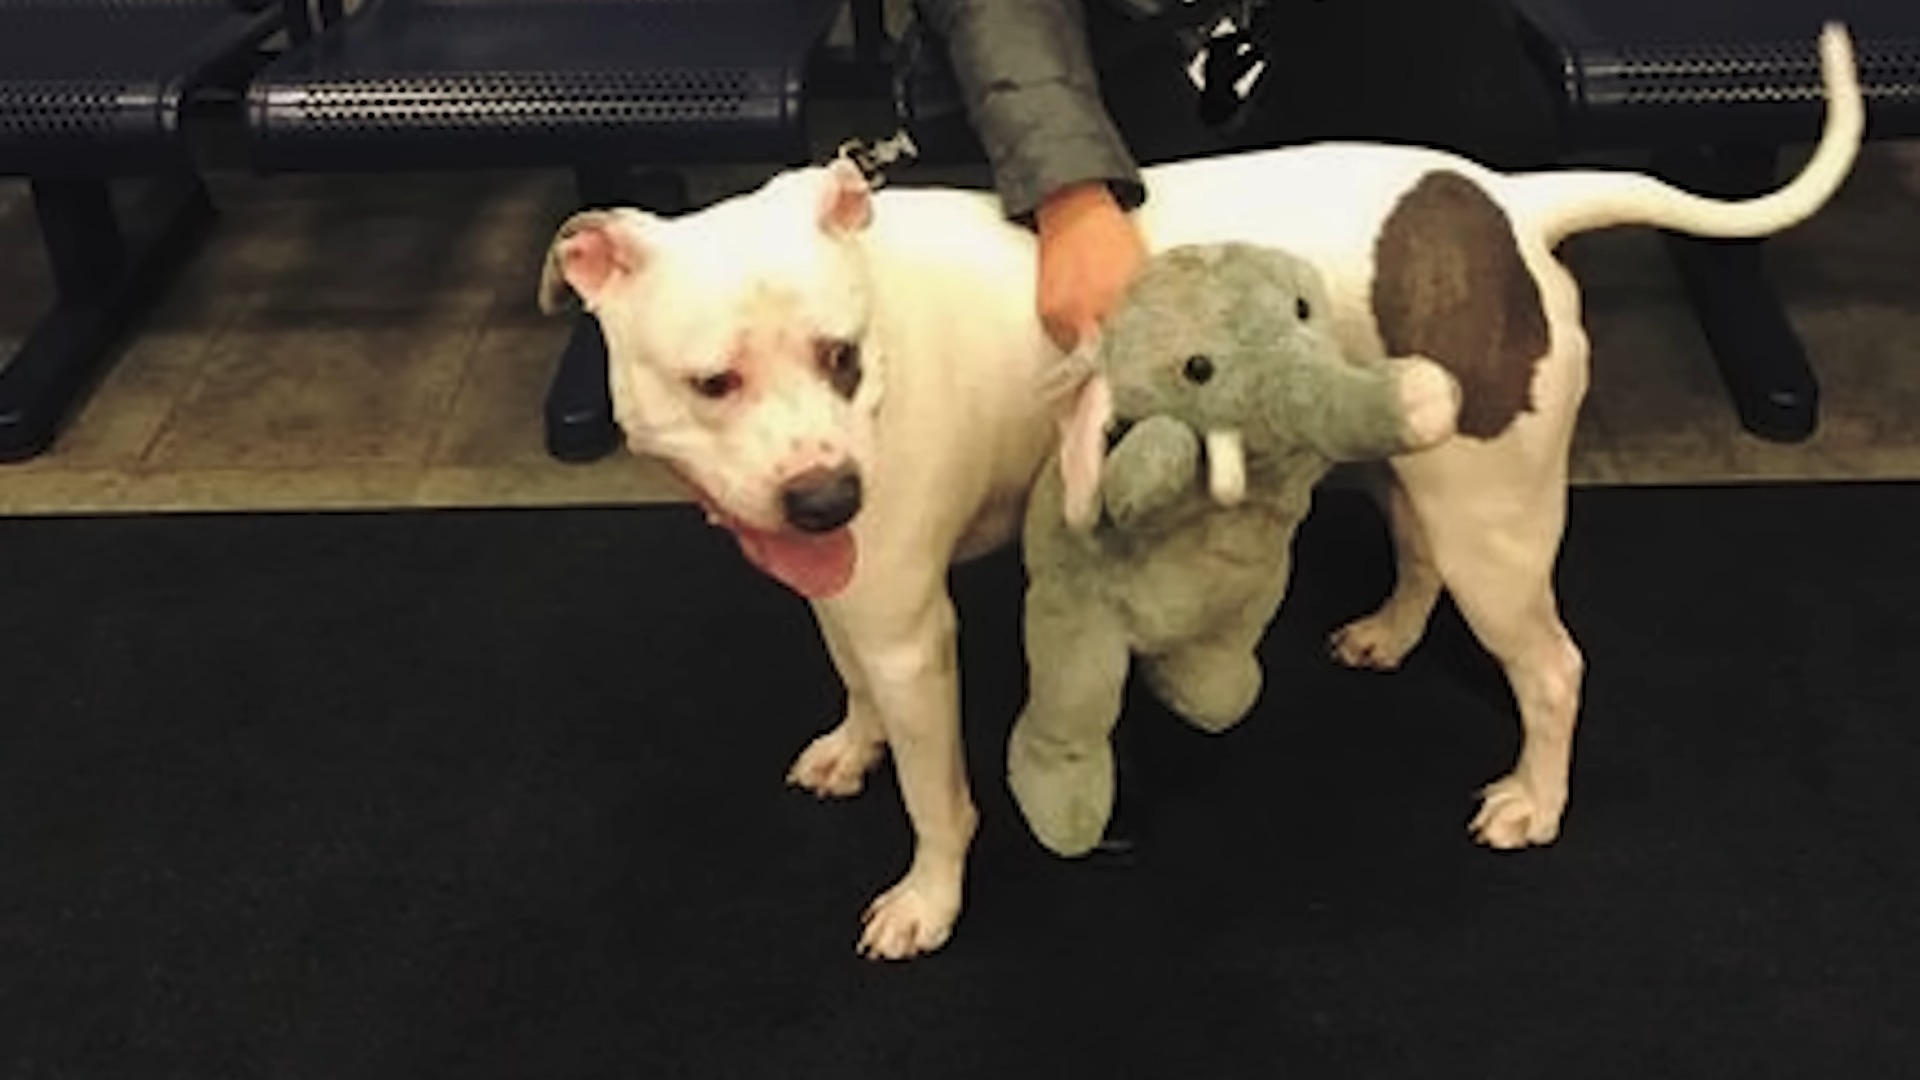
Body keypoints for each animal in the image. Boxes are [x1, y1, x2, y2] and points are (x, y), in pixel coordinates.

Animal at [541, 23, 1858, 949]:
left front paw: (929, 898)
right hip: (1418, 463)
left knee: (1553, 666)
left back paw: (1534, 797)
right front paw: (850, 745)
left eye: (842, 356)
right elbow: (852, 681)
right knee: (1419, 549)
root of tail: (1507, 198)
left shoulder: (914, 628)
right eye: (714, 381)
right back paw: (1389, 633)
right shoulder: (850, 591)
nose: (825, 500)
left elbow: (935, 791)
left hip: (1499, 517)